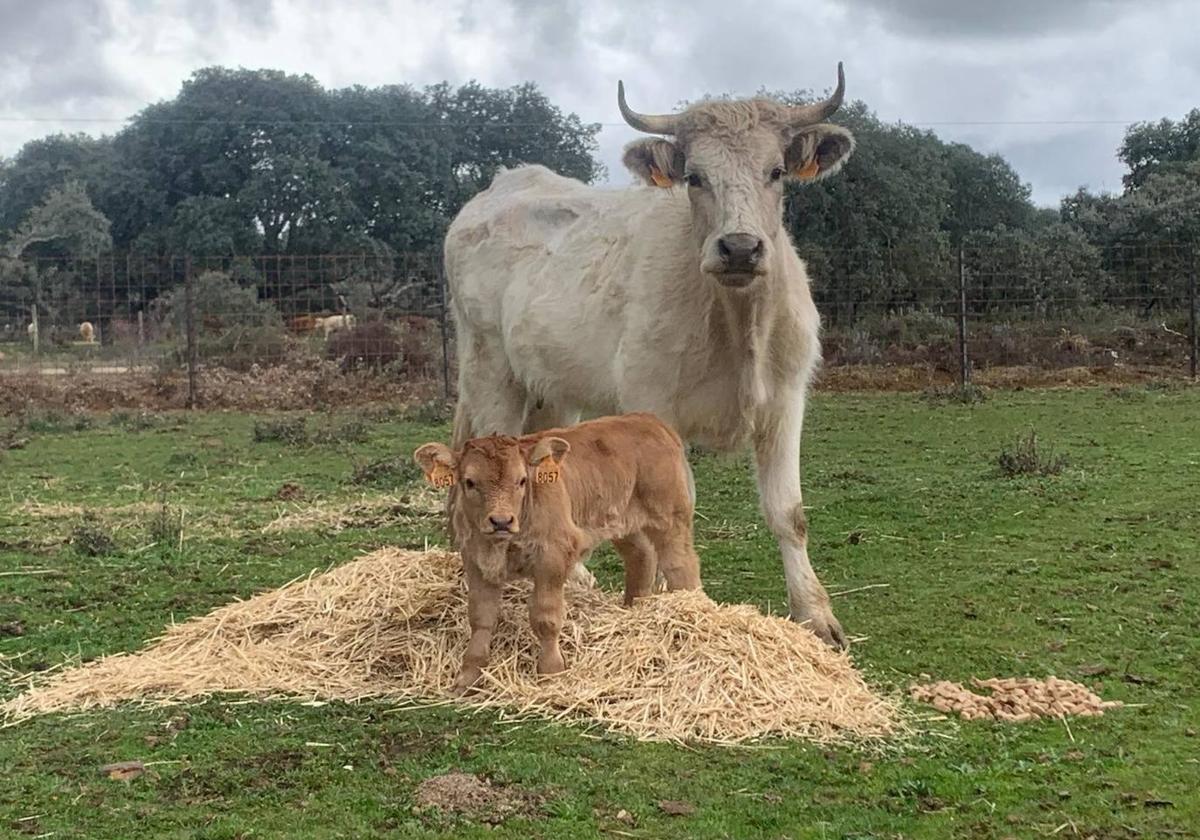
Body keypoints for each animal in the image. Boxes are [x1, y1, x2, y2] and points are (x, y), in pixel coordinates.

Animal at [415, 412, 700, 696]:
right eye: (470, 482)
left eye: (521, 480)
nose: (501, 521)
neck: (502, 545)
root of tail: (650, 420)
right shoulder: (475, 561)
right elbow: (480, 618)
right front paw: (468, 676)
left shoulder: (552, 557)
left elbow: (545, 617)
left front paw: (551, 671)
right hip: (624, 523)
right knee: (642, 557)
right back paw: (632, 610)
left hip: (670, 518)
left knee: (681, 566)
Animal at [446, 65, 859, 648]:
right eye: (695, 177)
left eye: (776, 171)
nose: (739, 248)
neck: (737, 325)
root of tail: (507, 181)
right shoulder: (654, 407)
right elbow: (671, 510)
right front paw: (672, 607)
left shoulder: (785, 402)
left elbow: (789, 512)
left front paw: (817, 617)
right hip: (488, 370)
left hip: (554, 388)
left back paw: (577, 576)